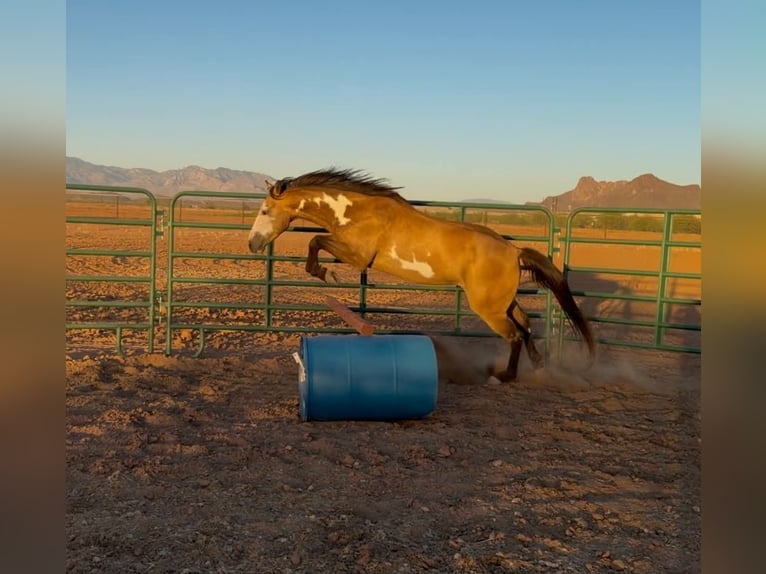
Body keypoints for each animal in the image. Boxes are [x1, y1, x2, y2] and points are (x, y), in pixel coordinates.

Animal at [248, 168, 595, 382]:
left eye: (265, 211)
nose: (252, 244)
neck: (356, 211)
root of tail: (514, 251)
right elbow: (315, 242)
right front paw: (324, 273)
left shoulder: (358, 255)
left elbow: (315, 241)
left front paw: (326, 274)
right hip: (504, 303)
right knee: (526, 327)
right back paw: (539, 366)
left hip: (489, 309)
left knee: (514, 335)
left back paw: (503, 377)